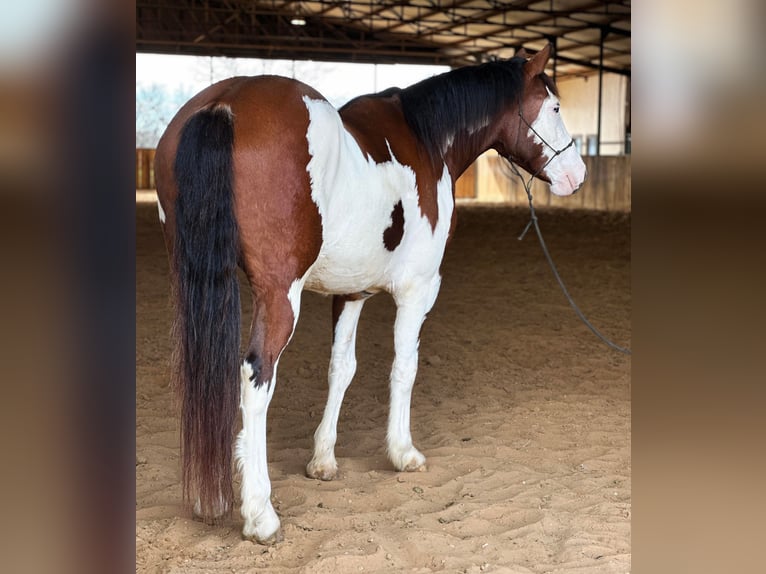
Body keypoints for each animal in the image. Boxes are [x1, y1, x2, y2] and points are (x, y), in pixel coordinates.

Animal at [154, 44, 588, 544]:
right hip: (279, 296)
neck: (427, 140)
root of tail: (224, 104)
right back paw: (260, 514)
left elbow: (341, 369)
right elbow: (404, 368)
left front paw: (323, 460)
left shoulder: (351, 293)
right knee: (256, 378)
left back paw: (210, 499)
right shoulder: (418, 290)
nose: (578, 175)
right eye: (554, 107)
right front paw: (402, 452)